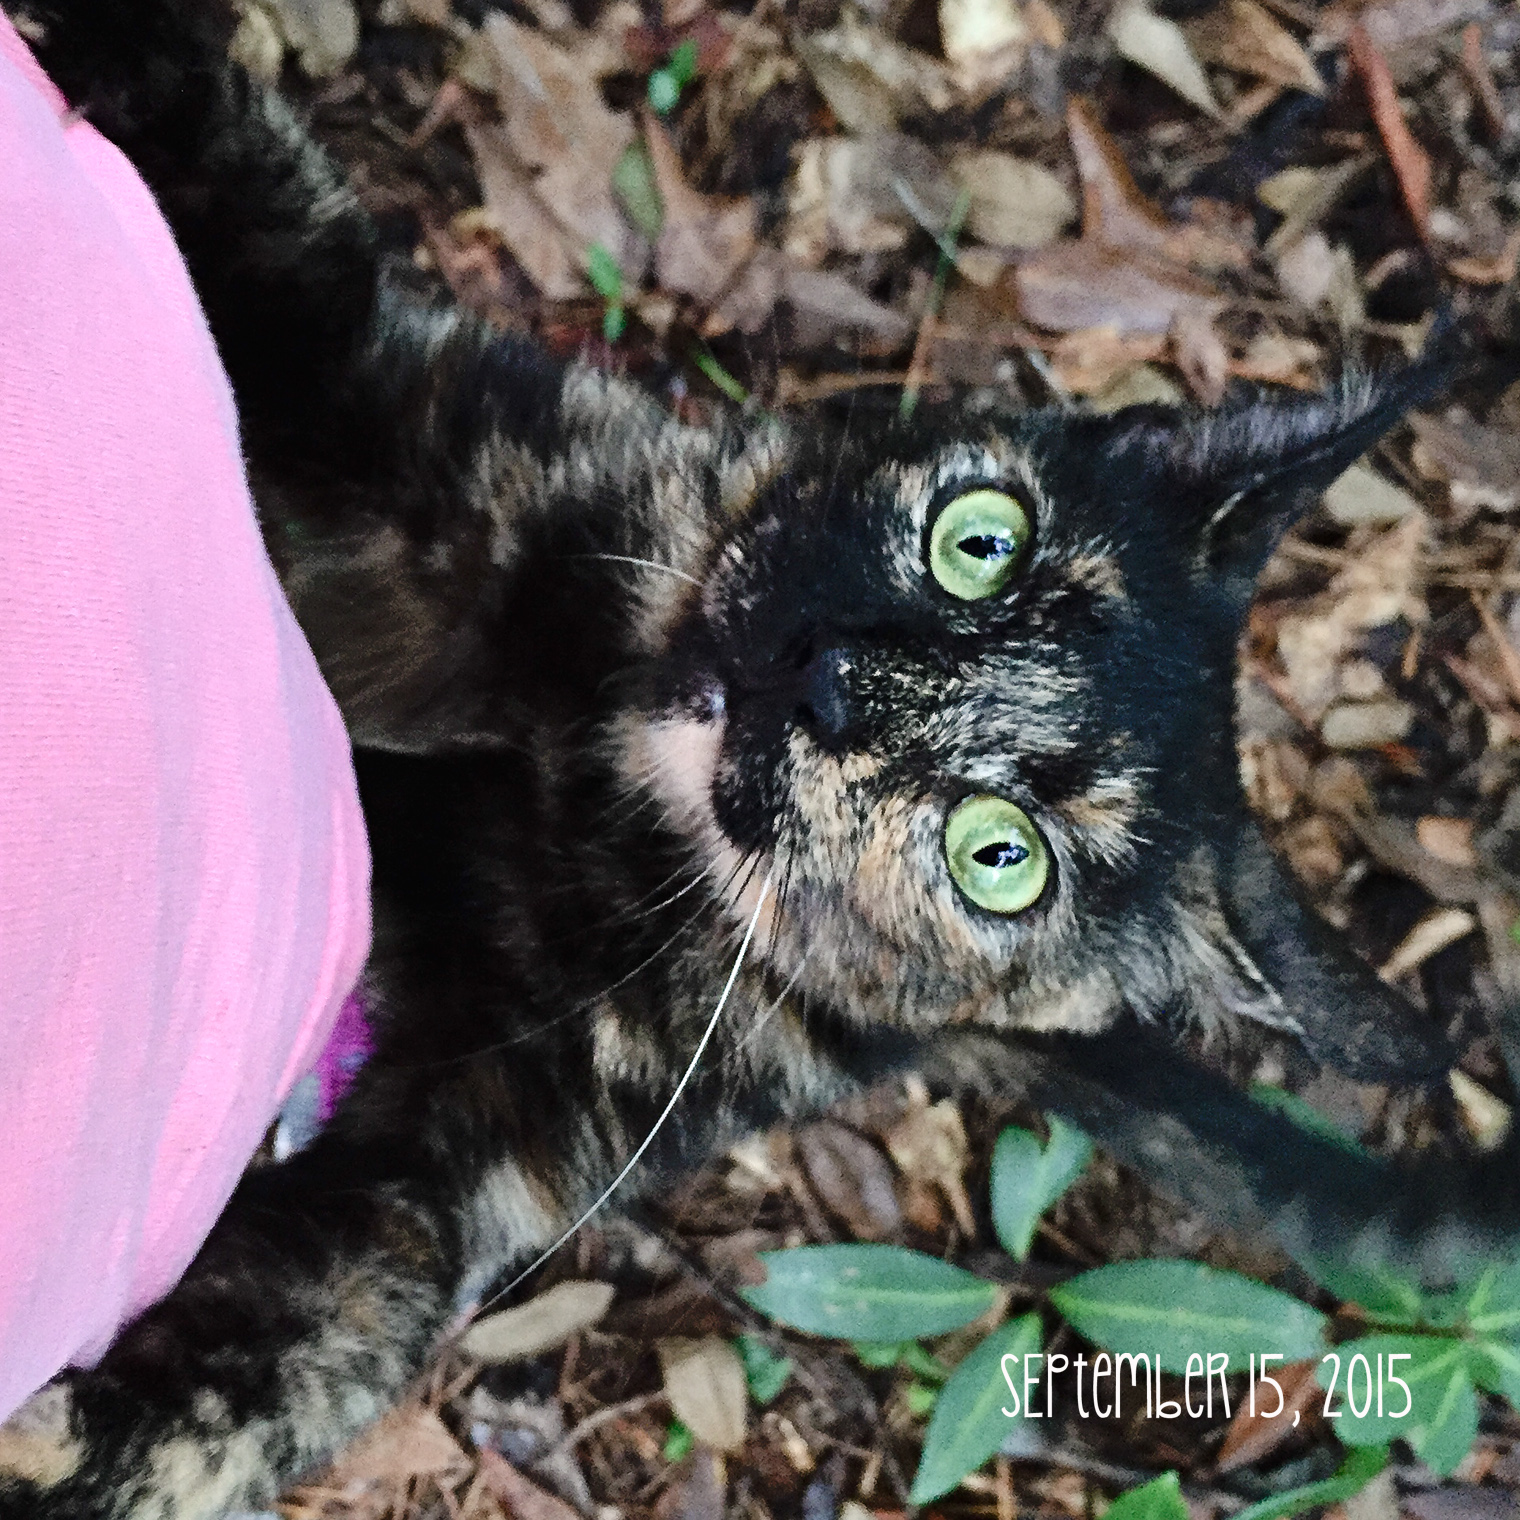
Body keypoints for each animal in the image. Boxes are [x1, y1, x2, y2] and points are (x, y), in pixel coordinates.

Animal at [2, 1, 1517, 1516]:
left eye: (1002, 857)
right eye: (980, 538)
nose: (831, 680)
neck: (585, 766)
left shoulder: (469, 1166)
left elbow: (285, 1363)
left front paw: (50, 1438)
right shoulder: (415, 411)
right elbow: (259, 190)